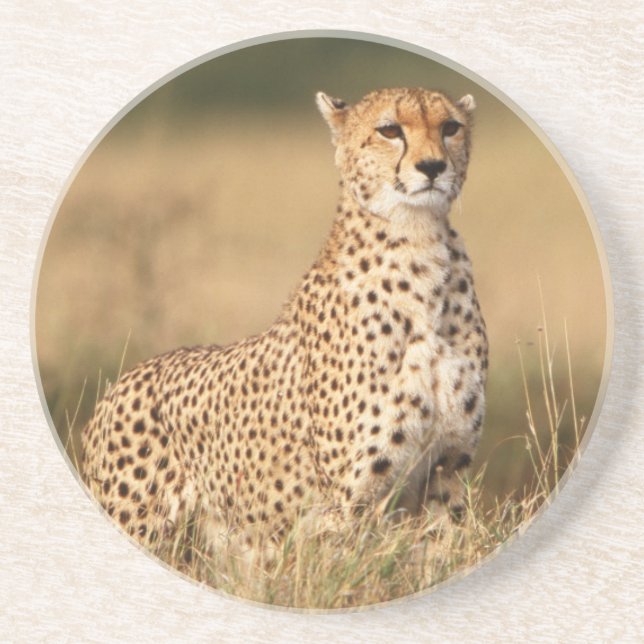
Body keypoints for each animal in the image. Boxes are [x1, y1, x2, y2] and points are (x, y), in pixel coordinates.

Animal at [82, 87, 488, 556]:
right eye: (389, 130)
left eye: (450, 127)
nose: (433, 167)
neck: (420, 244)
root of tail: (117, 385)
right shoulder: (349, 502)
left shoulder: (447, 473)